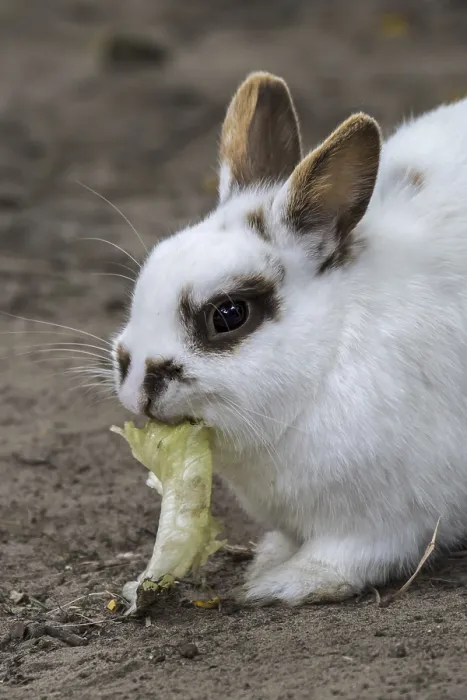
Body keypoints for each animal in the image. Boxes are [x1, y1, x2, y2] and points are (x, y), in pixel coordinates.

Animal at [113, 71, 467, 606]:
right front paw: (270, 558)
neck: (330, 351)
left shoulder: (388, 519)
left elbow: (346, 558)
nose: (137, 392)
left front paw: (281, 584)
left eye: (229, 315)